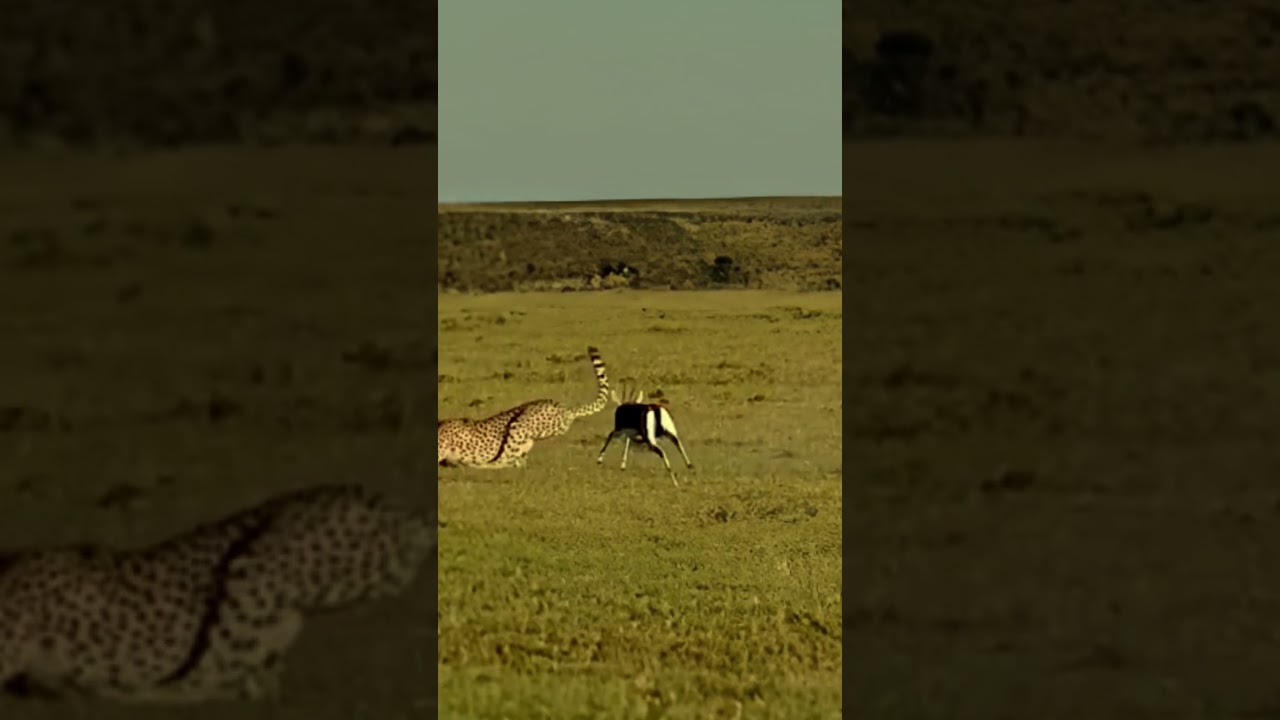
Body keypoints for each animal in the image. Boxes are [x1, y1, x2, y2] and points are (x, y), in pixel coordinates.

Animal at [438, 345, 610, 469]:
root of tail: (566, 408)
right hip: (524, 439)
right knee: (516, 461)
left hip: (518, 425)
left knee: (503, 461)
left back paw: (478, 465)